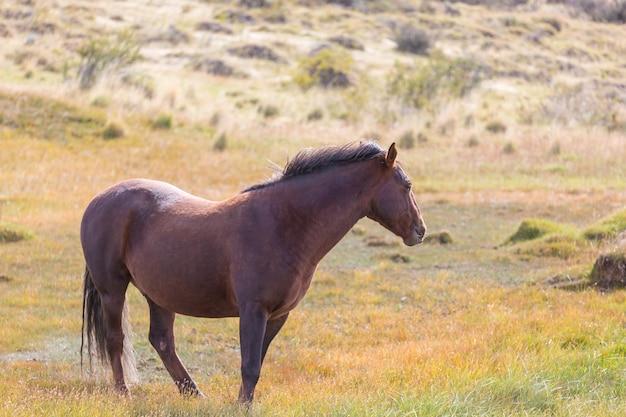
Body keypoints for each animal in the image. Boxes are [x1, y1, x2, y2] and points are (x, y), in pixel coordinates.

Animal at [79, 141, 424, 402]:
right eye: (406, 185)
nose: (420, 231)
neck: (283, 224)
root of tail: (99, 200)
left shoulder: (278, 315)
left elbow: (256, 363)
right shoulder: (253, 311)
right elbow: (249, 366)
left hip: (159, 294)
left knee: (162, 341)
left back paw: (194, 395)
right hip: (113, 290)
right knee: (116, 339)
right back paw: (124, 394)